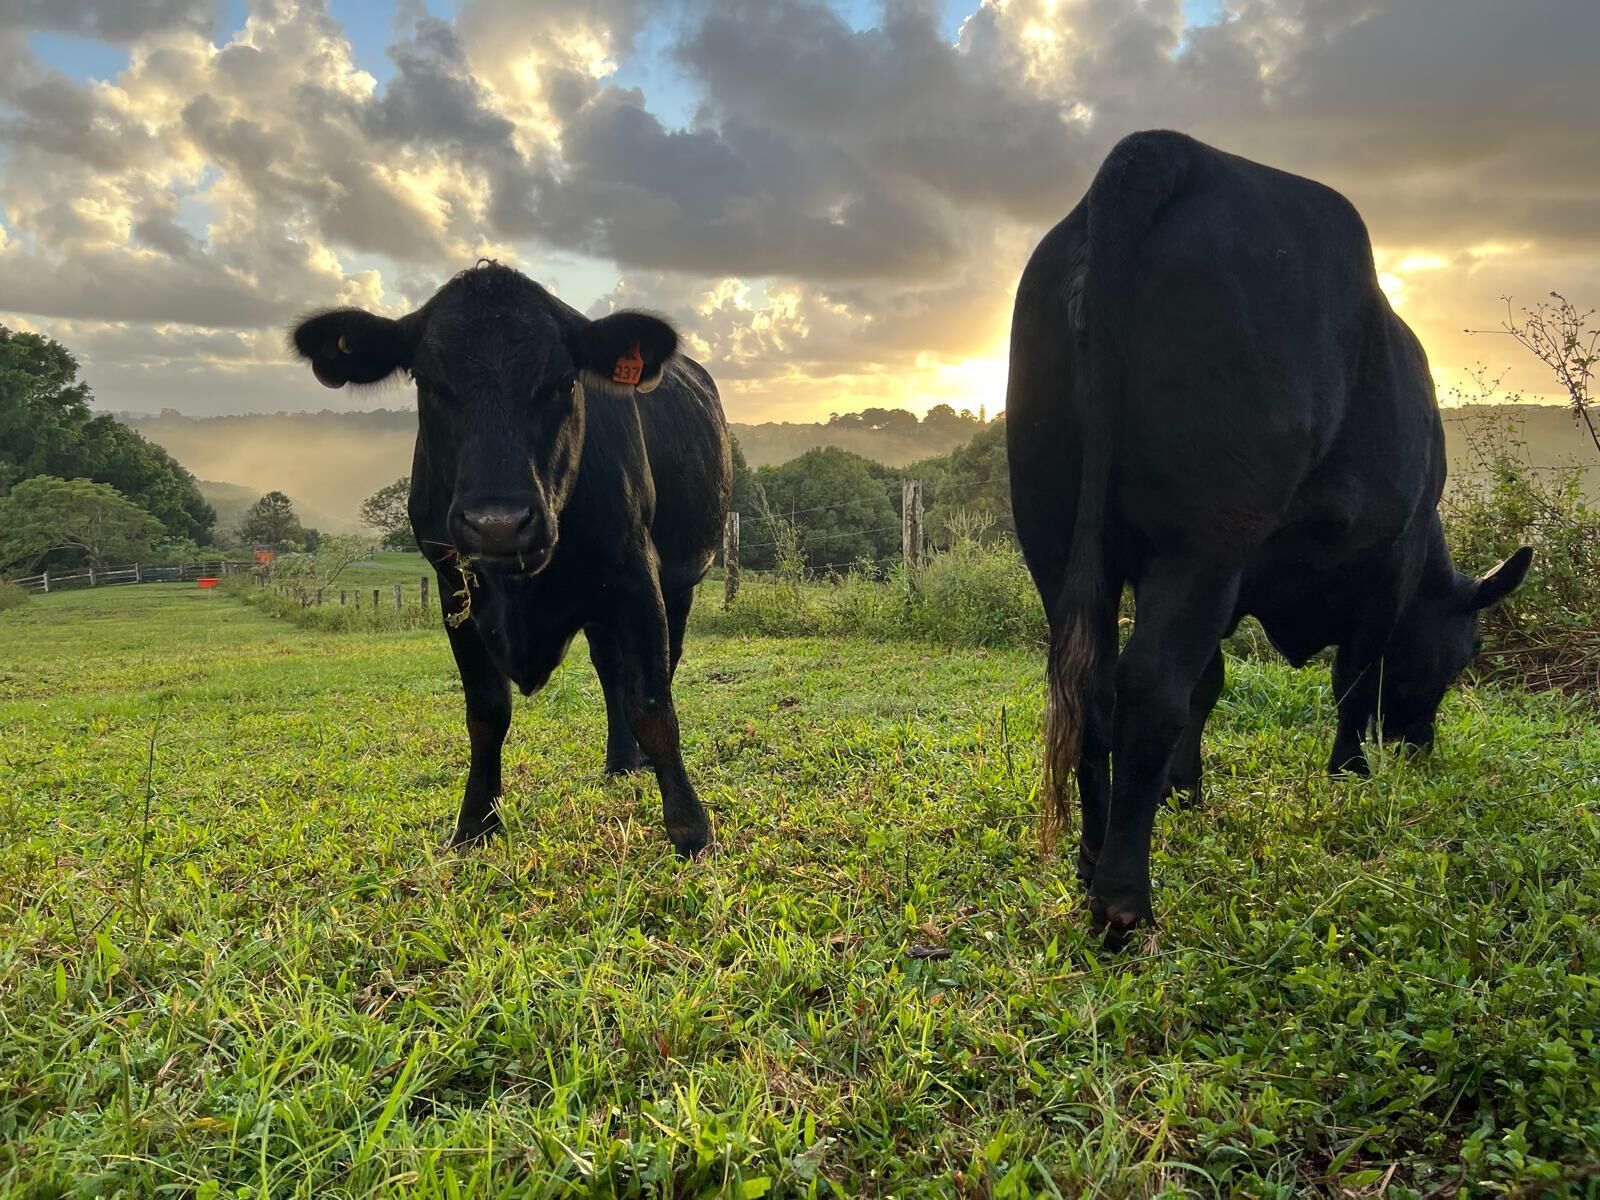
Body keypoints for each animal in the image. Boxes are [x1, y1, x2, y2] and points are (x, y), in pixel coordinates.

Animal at [291, 262, 731, 857]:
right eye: (427, 381)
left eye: (565, 381)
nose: (497, 523)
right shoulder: (453, 588)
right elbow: (486, 713)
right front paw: (474, 821)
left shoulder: (638, 577)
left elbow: (654, 706)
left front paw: (689, 829)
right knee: (609, 669)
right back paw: (618, 762)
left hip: (679, 579)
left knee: (654, 665)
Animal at [1005, 131, 1531, 946]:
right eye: (1469, 651)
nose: (1420, 745)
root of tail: (1165, 150)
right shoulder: (1390, 561)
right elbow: (1354, 675)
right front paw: (1349, 772)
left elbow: (1211, 682)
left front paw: (1183, 788)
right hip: (1201, 541)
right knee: (1149, 686)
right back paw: (1124, 904)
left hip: (1054, 530)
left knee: (1093, 681)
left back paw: (1092, 863)